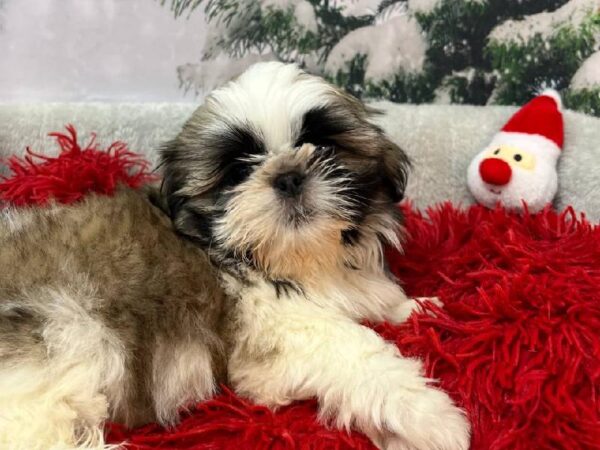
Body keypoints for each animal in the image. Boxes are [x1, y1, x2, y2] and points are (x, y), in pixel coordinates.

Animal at [0, 60, 468, 450]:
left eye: (322, 148)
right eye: (240, 170)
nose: (288, 175)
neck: (300, 260)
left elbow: (379, 302)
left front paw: (421, 308)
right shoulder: (275, 333)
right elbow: (353, 350)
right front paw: (431, 417)